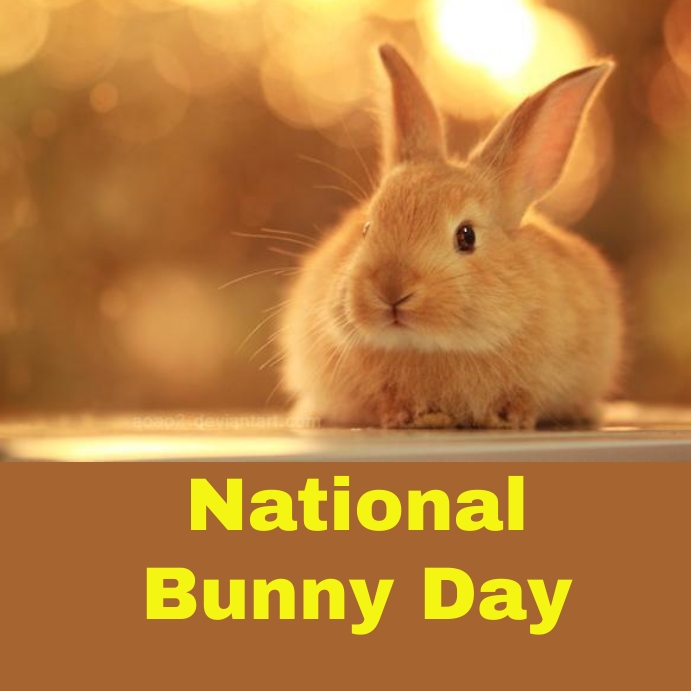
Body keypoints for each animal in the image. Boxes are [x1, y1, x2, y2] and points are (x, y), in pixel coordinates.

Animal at [278, 44, 623, 429]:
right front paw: (408, 417)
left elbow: (525, 398)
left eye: (466, 236)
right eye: (367, 228)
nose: (391, 289)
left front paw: (511, 418)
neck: (437, 347)